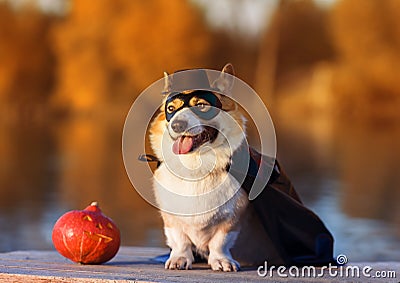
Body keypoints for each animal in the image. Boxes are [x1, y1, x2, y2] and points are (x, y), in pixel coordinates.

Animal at [148, 64, 274, 272]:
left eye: (201, 105)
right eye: (171, 109)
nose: (177, 124)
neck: (196, 167)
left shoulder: (233, 218)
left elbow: (220, 241)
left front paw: (222, 261)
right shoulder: (171, 218)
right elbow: (180, 240)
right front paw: (179, 259)